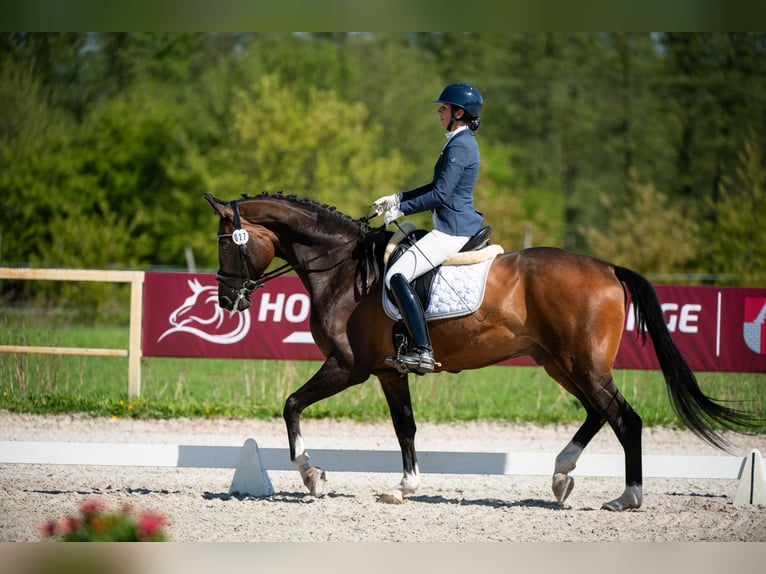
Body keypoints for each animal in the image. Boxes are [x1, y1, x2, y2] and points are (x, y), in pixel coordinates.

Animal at [204, 191, 757, 511]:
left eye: (226, 243)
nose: (228, 301)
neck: (341, 269)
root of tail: (606, 268)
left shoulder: (348, 367)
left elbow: (291, 404)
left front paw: (312, 475)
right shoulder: (388, 372)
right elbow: (405, 428)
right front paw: (402, 488)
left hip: (580, 362)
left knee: (625, 417)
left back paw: (627, 497)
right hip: (559, 363)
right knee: (600, 412)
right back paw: (561, 475)